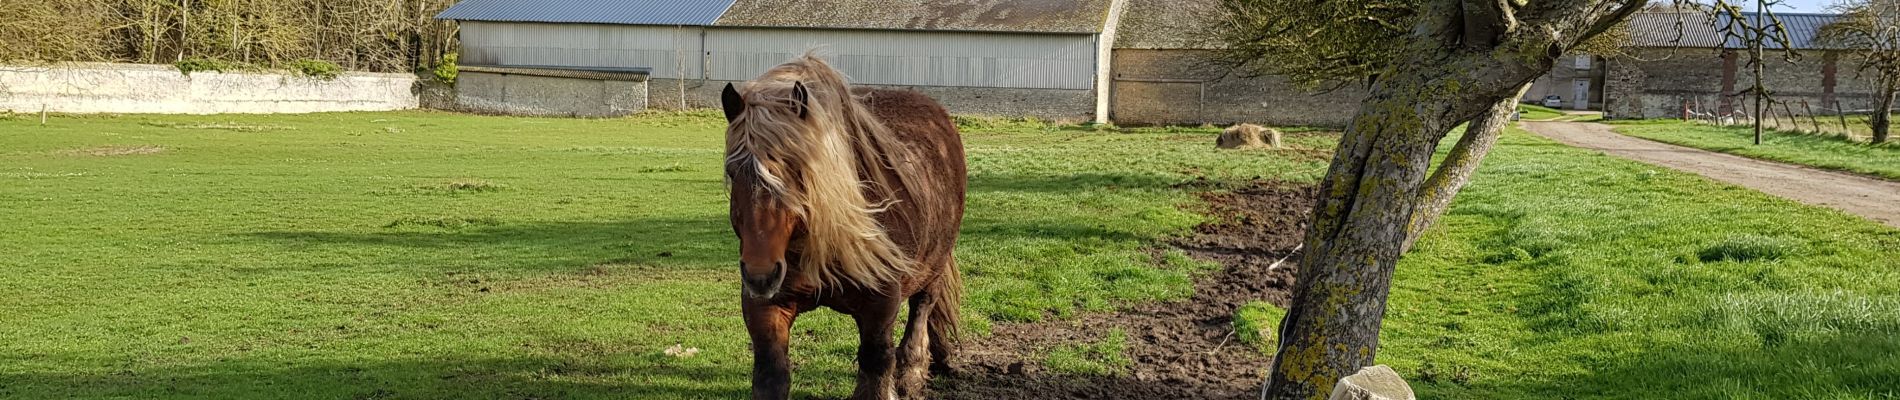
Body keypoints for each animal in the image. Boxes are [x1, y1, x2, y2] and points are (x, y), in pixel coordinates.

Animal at [722, 55, 972, 400]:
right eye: (733, 172)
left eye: (796, 171)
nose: (761, 274)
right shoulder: (765, 306)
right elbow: (771, 375)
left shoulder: (880, 307)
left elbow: (876, 367)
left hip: (934, 262)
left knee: (922, 308)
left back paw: (911, 373)